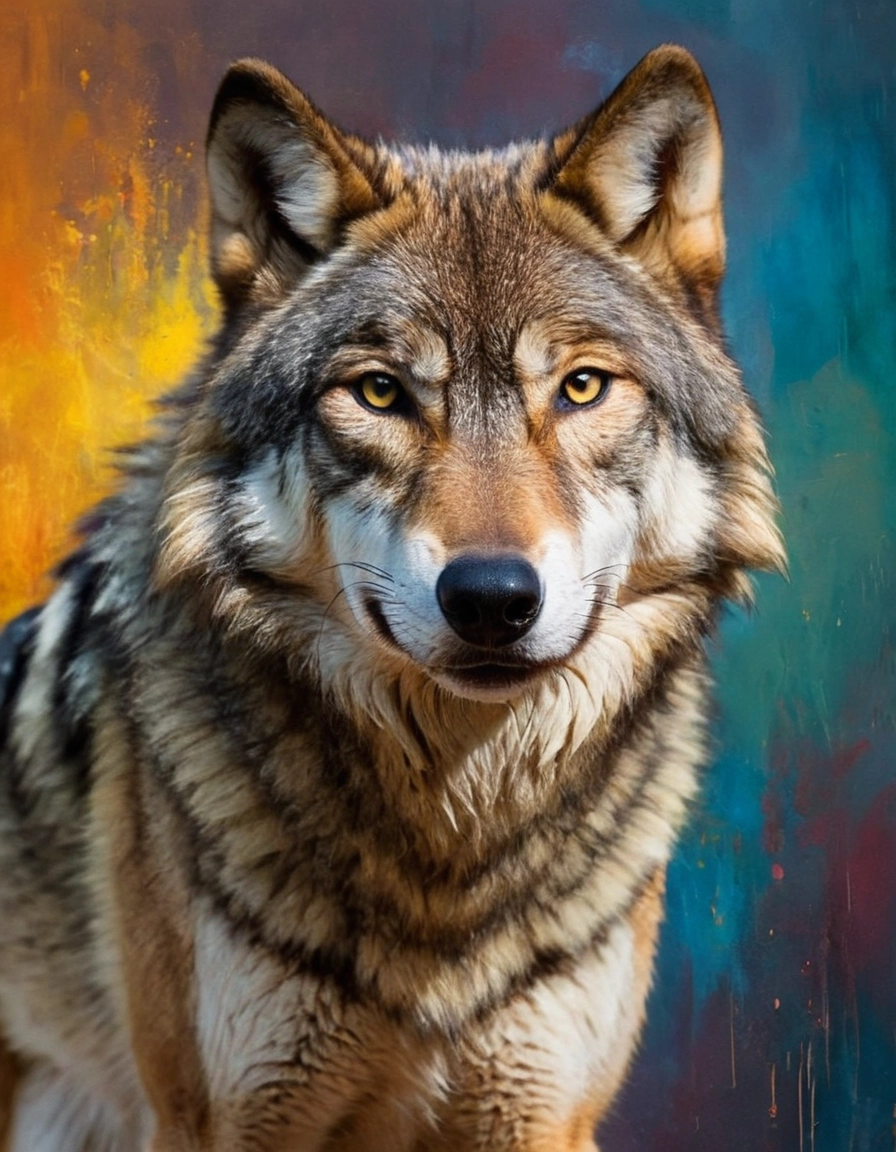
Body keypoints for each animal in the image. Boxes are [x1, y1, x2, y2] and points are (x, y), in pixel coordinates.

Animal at [0, 44, 782, 1151]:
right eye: (379, 392)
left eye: (582, 387)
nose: (492, 597)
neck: (449, 841)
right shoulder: (219, 1118)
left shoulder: (540, 1114)